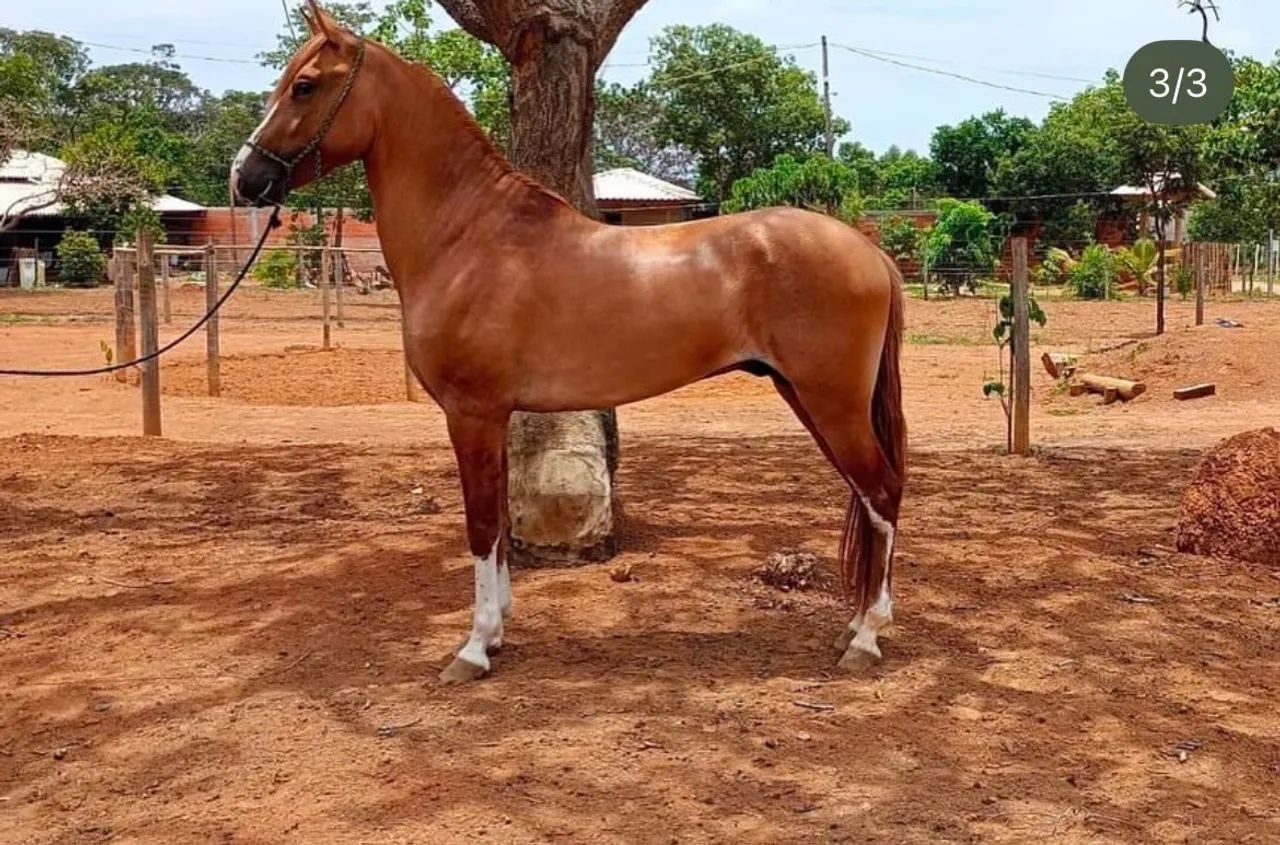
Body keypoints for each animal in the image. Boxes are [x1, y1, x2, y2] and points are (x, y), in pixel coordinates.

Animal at [232, 1, 906, 684]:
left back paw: (866, 637)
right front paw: (498, 631)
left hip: (832, 401)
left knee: (881, 490)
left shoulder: (471, 413)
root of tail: (868, 250)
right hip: (805, 394)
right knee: (868, 494)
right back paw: (854, 624)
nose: (245, 178)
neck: (470, 237)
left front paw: (473, 648)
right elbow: (498, 519)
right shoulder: (492, 417)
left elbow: (481, 524)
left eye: (304, 86)